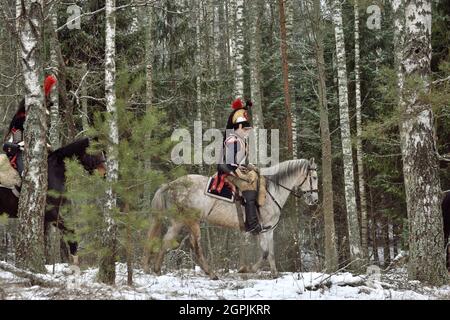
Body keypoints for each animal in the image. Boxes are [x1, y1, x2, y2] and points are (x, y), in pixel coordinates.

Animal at [142, 159, 318, 278]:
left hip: (178, 221)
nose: (314, 200)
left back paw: (157, 269)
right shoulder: (262, 230)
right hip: (192, 221)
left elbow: (271, 253)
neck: (270, 191)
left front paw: (274, 274)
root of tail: (170, 184)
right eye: (315, 177)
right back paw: (211, 273)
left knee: (166, 241)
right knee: (195, 246)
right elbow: (265, 253)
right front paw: (246, 269)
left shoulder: (268, 230)